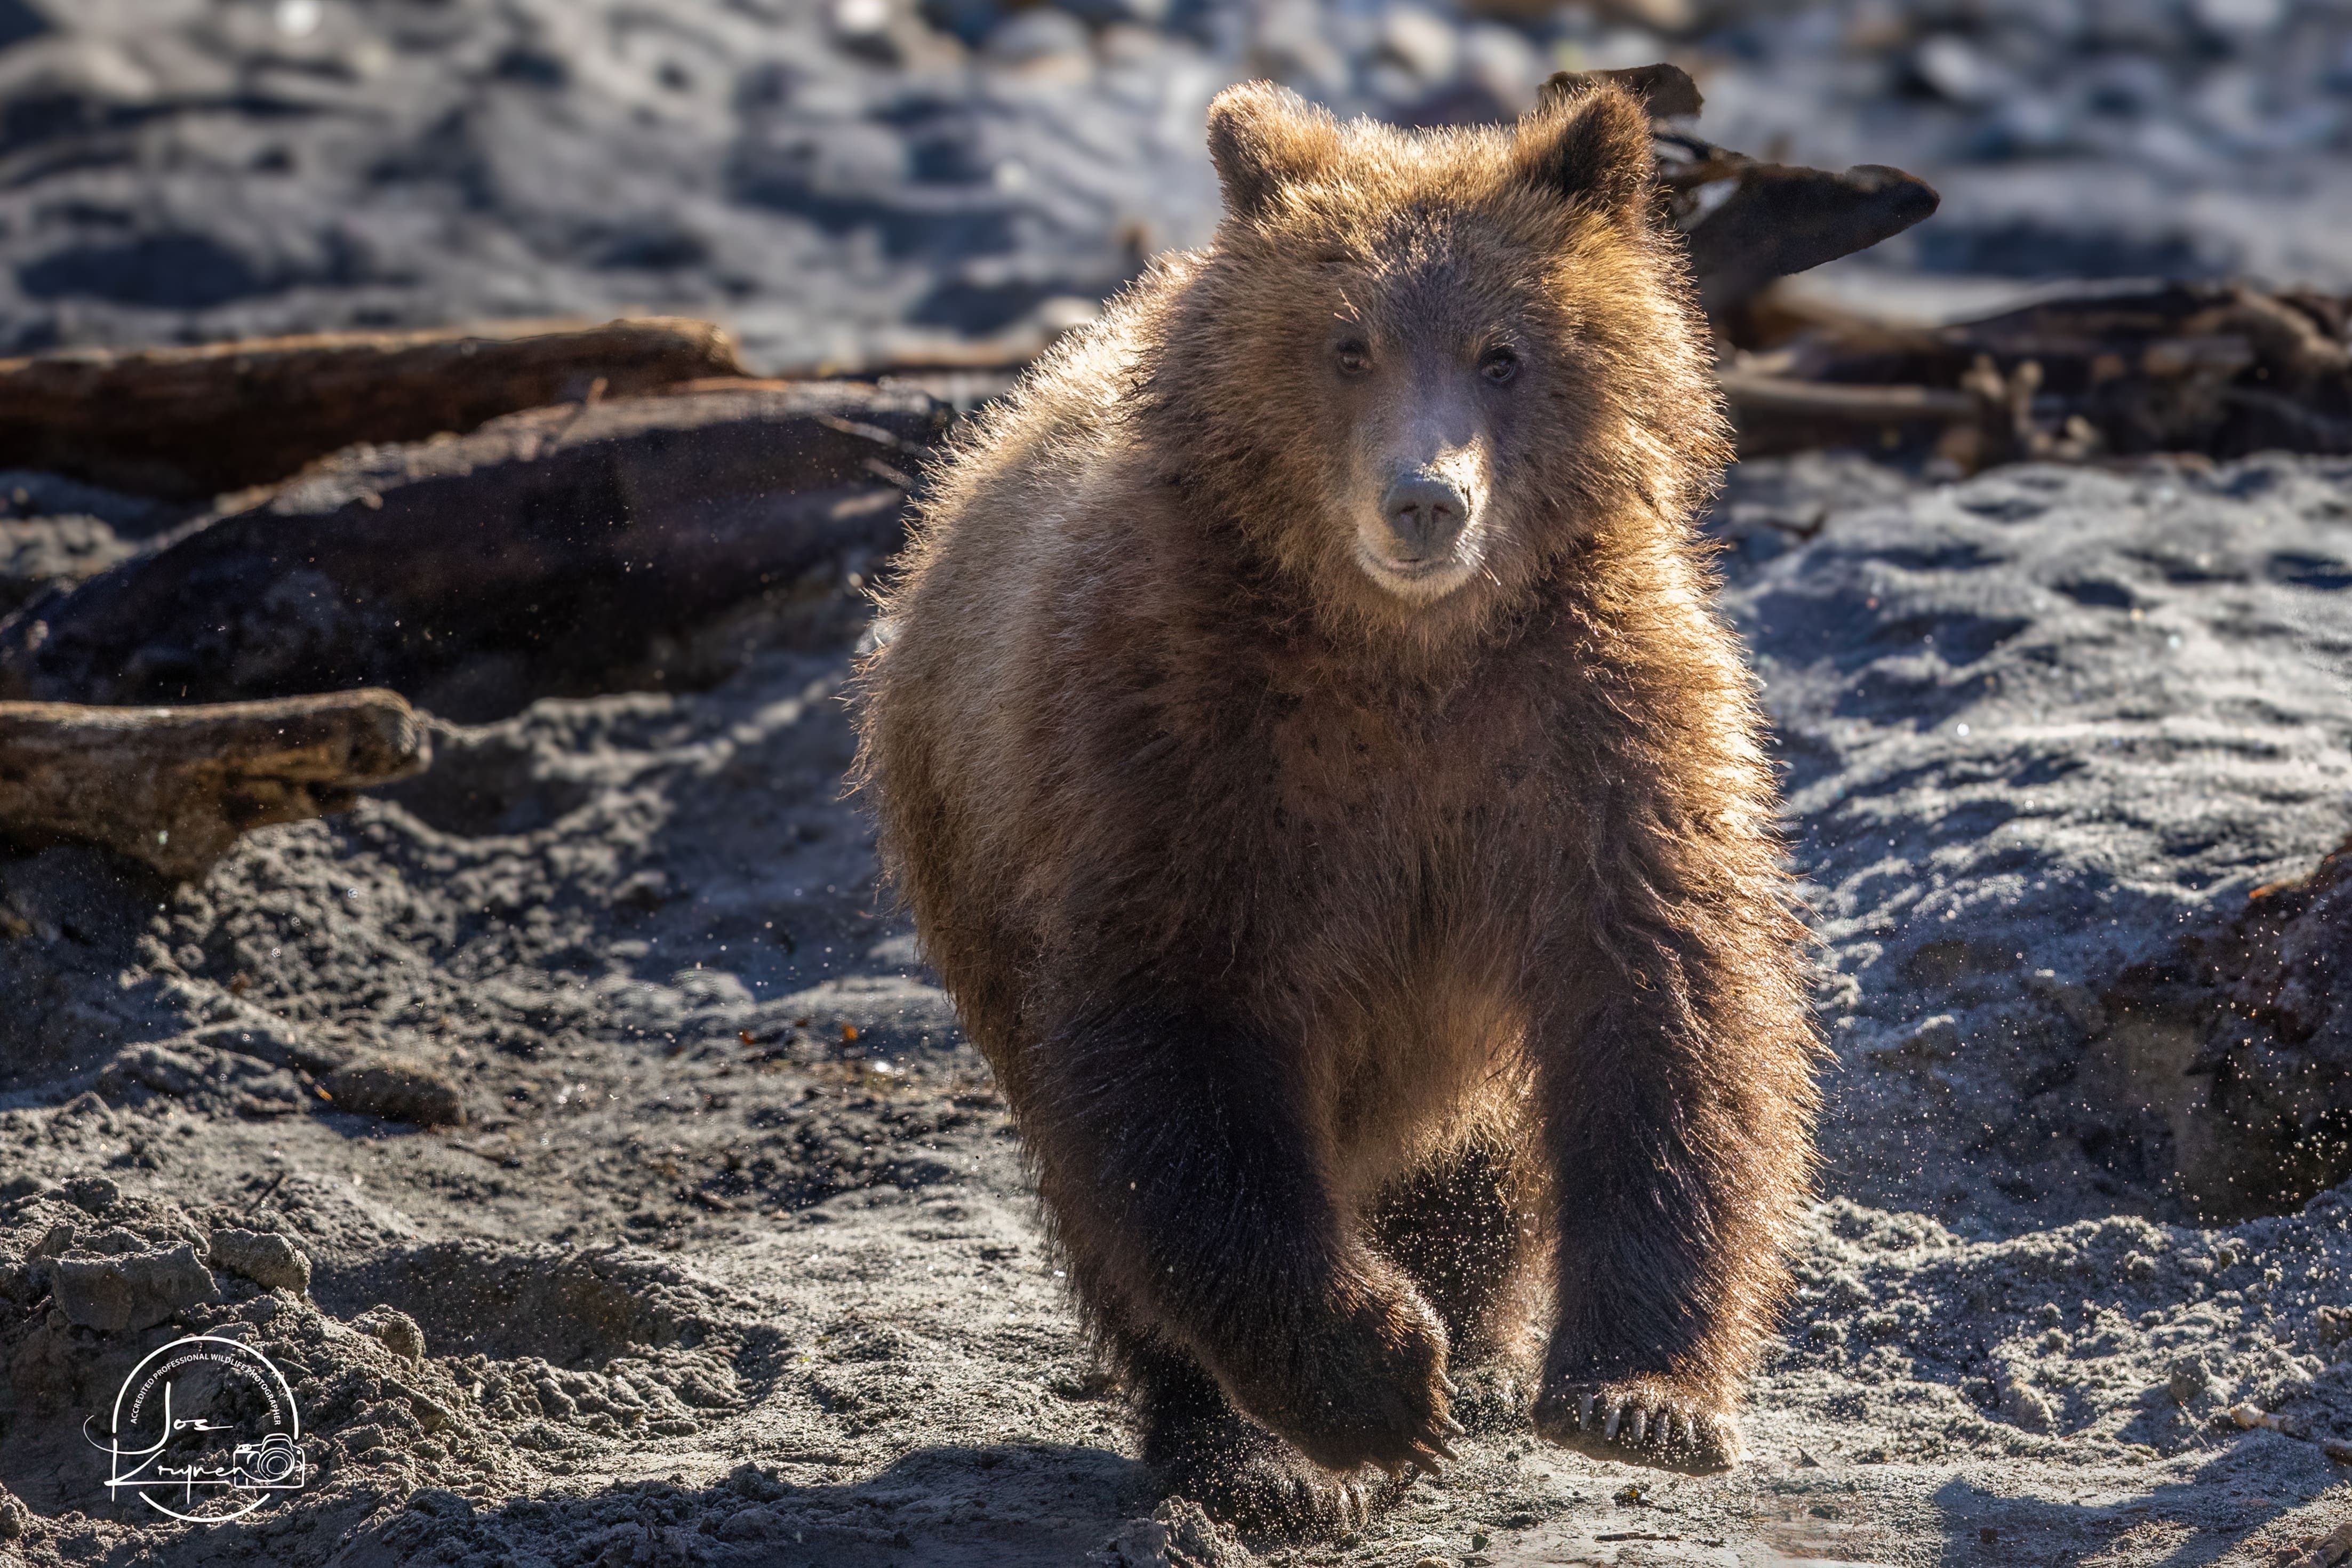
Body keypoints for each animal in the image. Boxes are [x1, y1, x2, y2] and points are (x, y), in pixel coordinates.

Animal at [850, 76, 1823, 1535]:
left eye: (1502, 352)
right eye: (1347, 343)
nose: (1426, 501)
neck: (1404, 658)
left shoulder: (1583, 730)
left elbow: (1667, 1006)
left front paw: (1642, 1399)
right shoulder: (1184, 746)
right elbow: (1180, 1049)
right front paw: (1369, 1384)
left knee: (1477, 1148)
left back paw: (1482, 1349)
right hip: (970, 859)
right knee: (1100, 1191)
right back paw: (1249, 1455)